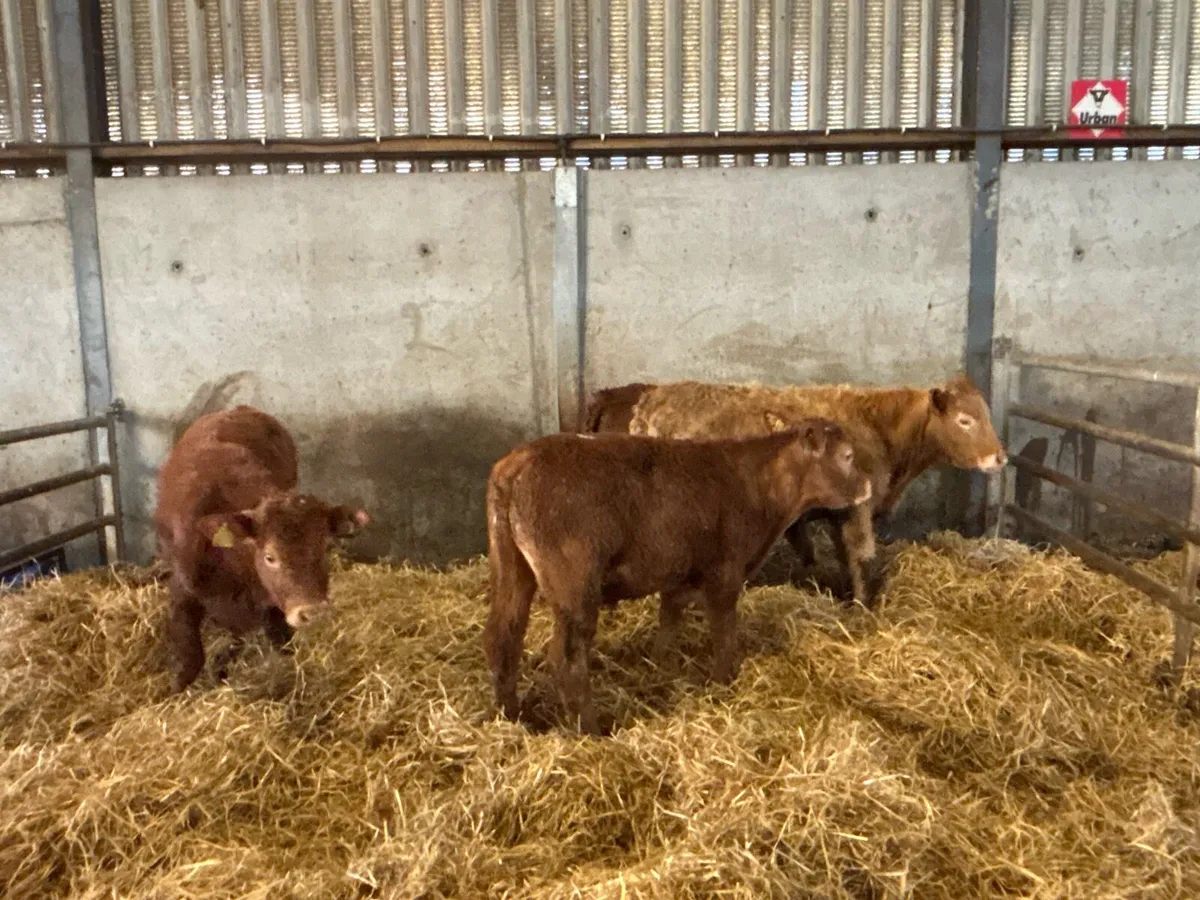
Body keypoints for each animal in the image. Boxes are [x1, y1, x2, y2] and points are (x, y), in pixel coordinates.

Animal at [154, 405, 369, 691]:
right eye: (270, 557)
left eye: (323, 548)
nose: (312, 612)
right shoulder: (182, 591)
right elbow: (189, 660)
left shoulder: (273, 608)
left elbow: (281, 646)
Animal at [482, 420, 873, 734]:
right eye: (848, 456)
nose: (868, 484)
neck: (755, 484)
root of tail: (517, 463)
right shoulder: (725, 572)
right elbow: (724, 633)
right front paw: (724, 682)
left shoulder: (678, 573)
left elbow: (669, 622)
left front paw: (661, 668)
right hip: (574, 584)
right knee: (566, 659)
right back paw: (590, 731)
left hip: (512, 570)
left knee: (504, 637)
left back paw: (513, 717)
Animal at [626, 375, 1007, 607]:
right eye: (964, 421)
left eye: (986, 415)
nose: (1000, 457)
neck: (877, 428)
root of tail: (654, 400)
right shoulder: (857, 509)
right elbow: (859, 557)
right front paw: (862, 606)